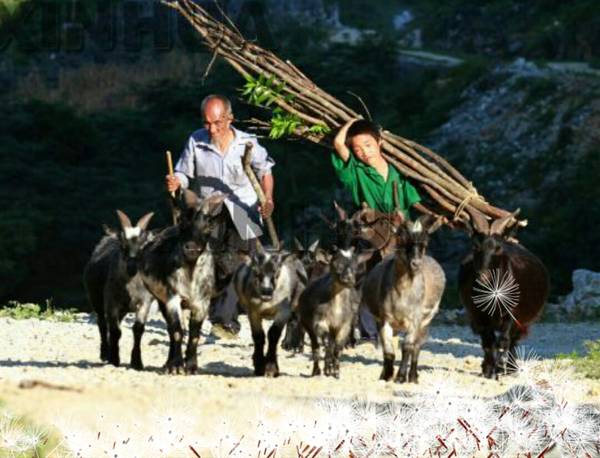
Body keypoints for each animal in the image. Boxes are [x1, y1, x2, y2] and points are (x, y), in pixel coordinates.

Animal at [84, 210, 155, 368]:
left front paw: (137, 362)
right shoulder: (112, 302)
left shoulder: (145, 301)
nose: (132, 267)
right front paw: (115, 359)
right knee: (102, 323)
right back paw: (105, 353)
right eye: (123, 246)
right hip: (96, 297)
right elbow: (116, 331)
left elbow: (138, 329)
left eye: (143, 246)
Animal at [234, 245, 308, 378]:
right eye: (255, 271)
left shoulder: (283, 311)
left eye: (276, 271)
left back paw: (293, 345)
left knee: (294, 321)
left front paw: (271, 368)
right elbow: (258, 336)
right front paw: (259, 366)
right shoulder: (253, 312)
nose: (266, 291)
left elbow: (273, 334)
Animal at [296, 247, 370, 380]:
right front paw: (328, 369)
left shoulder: (344, 326)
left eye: (355, 265)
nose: (348, 279)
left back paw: (328, 368)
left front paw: (336, 372)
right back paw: (317, 371)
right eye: (335, 264)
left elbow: (337, 348)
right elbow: (327, 344)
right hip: (307, 325)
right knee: (316, 347)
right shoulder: (320, 322)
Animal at [360, 215, 446, 382]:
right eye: (401, 239)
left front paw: (401, 377)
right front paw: (386, 376)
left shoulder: (415, 319)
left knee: (416, 347)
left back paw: (412, 376)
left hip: (426, 321)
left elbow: (407, 347)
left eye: (425, 243)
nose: (416, 264)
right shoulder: (384, 319)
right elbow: (388, 350)